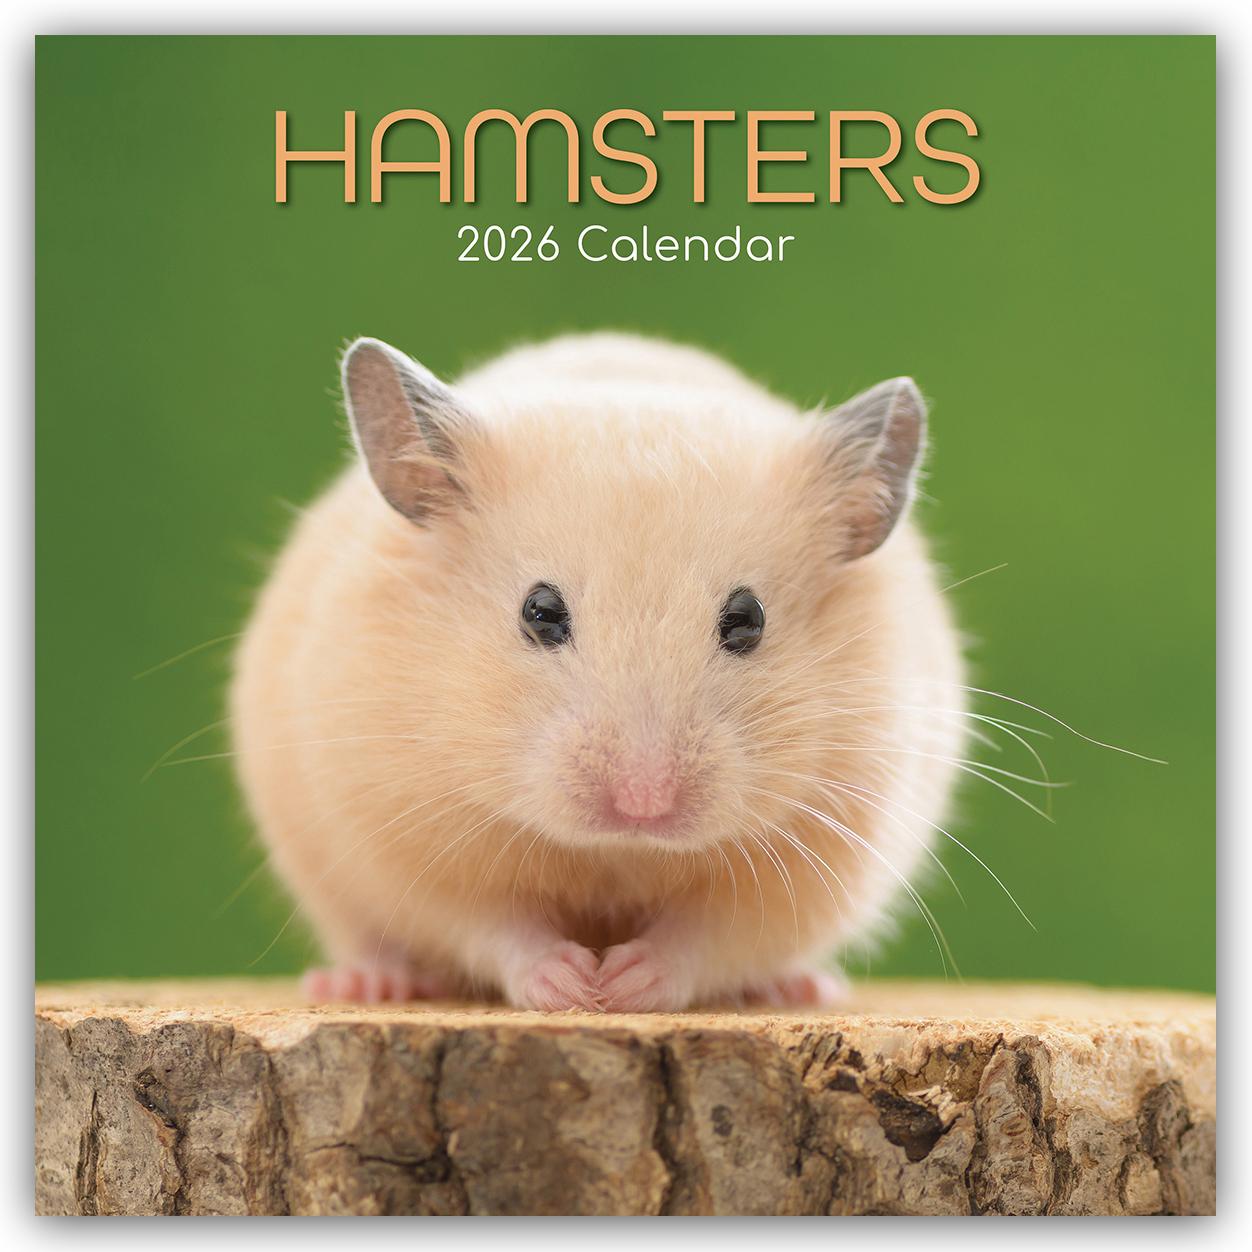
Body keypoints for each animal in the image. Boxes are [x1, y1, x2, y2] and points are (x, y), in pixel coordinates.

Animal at [231, 332, 965, 1011]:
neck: (617, 852)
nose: (644, 803)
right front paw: (574, 986)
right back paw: (368, 983)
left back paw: (801, 988)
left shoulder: (815, 861)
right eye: (539, 611)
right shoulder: (406, 840)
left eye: (748, 619)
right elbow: (494, 926)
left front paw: (623, 985)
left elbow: (707, 938)